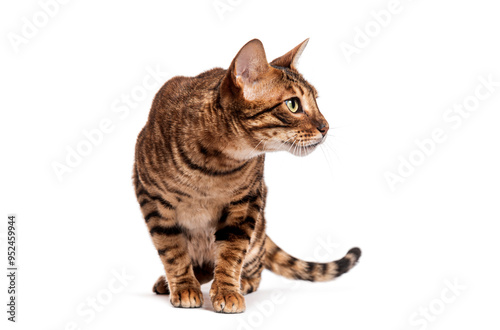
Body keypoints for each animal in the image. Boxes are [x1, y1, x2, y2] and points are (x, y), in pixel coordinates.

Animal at [133, 38, 360, 314]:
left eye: (316, 101)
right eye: (293, 104)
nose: (325, 127)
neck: (214, 167)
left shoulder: (247, 202)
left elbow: (232, 253)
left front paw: (227, 291)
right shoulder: (152, 197)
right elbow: (172, 250)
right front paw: (184, 285)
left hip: (258, 231)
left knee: (250, 267)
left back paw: (242, 282)